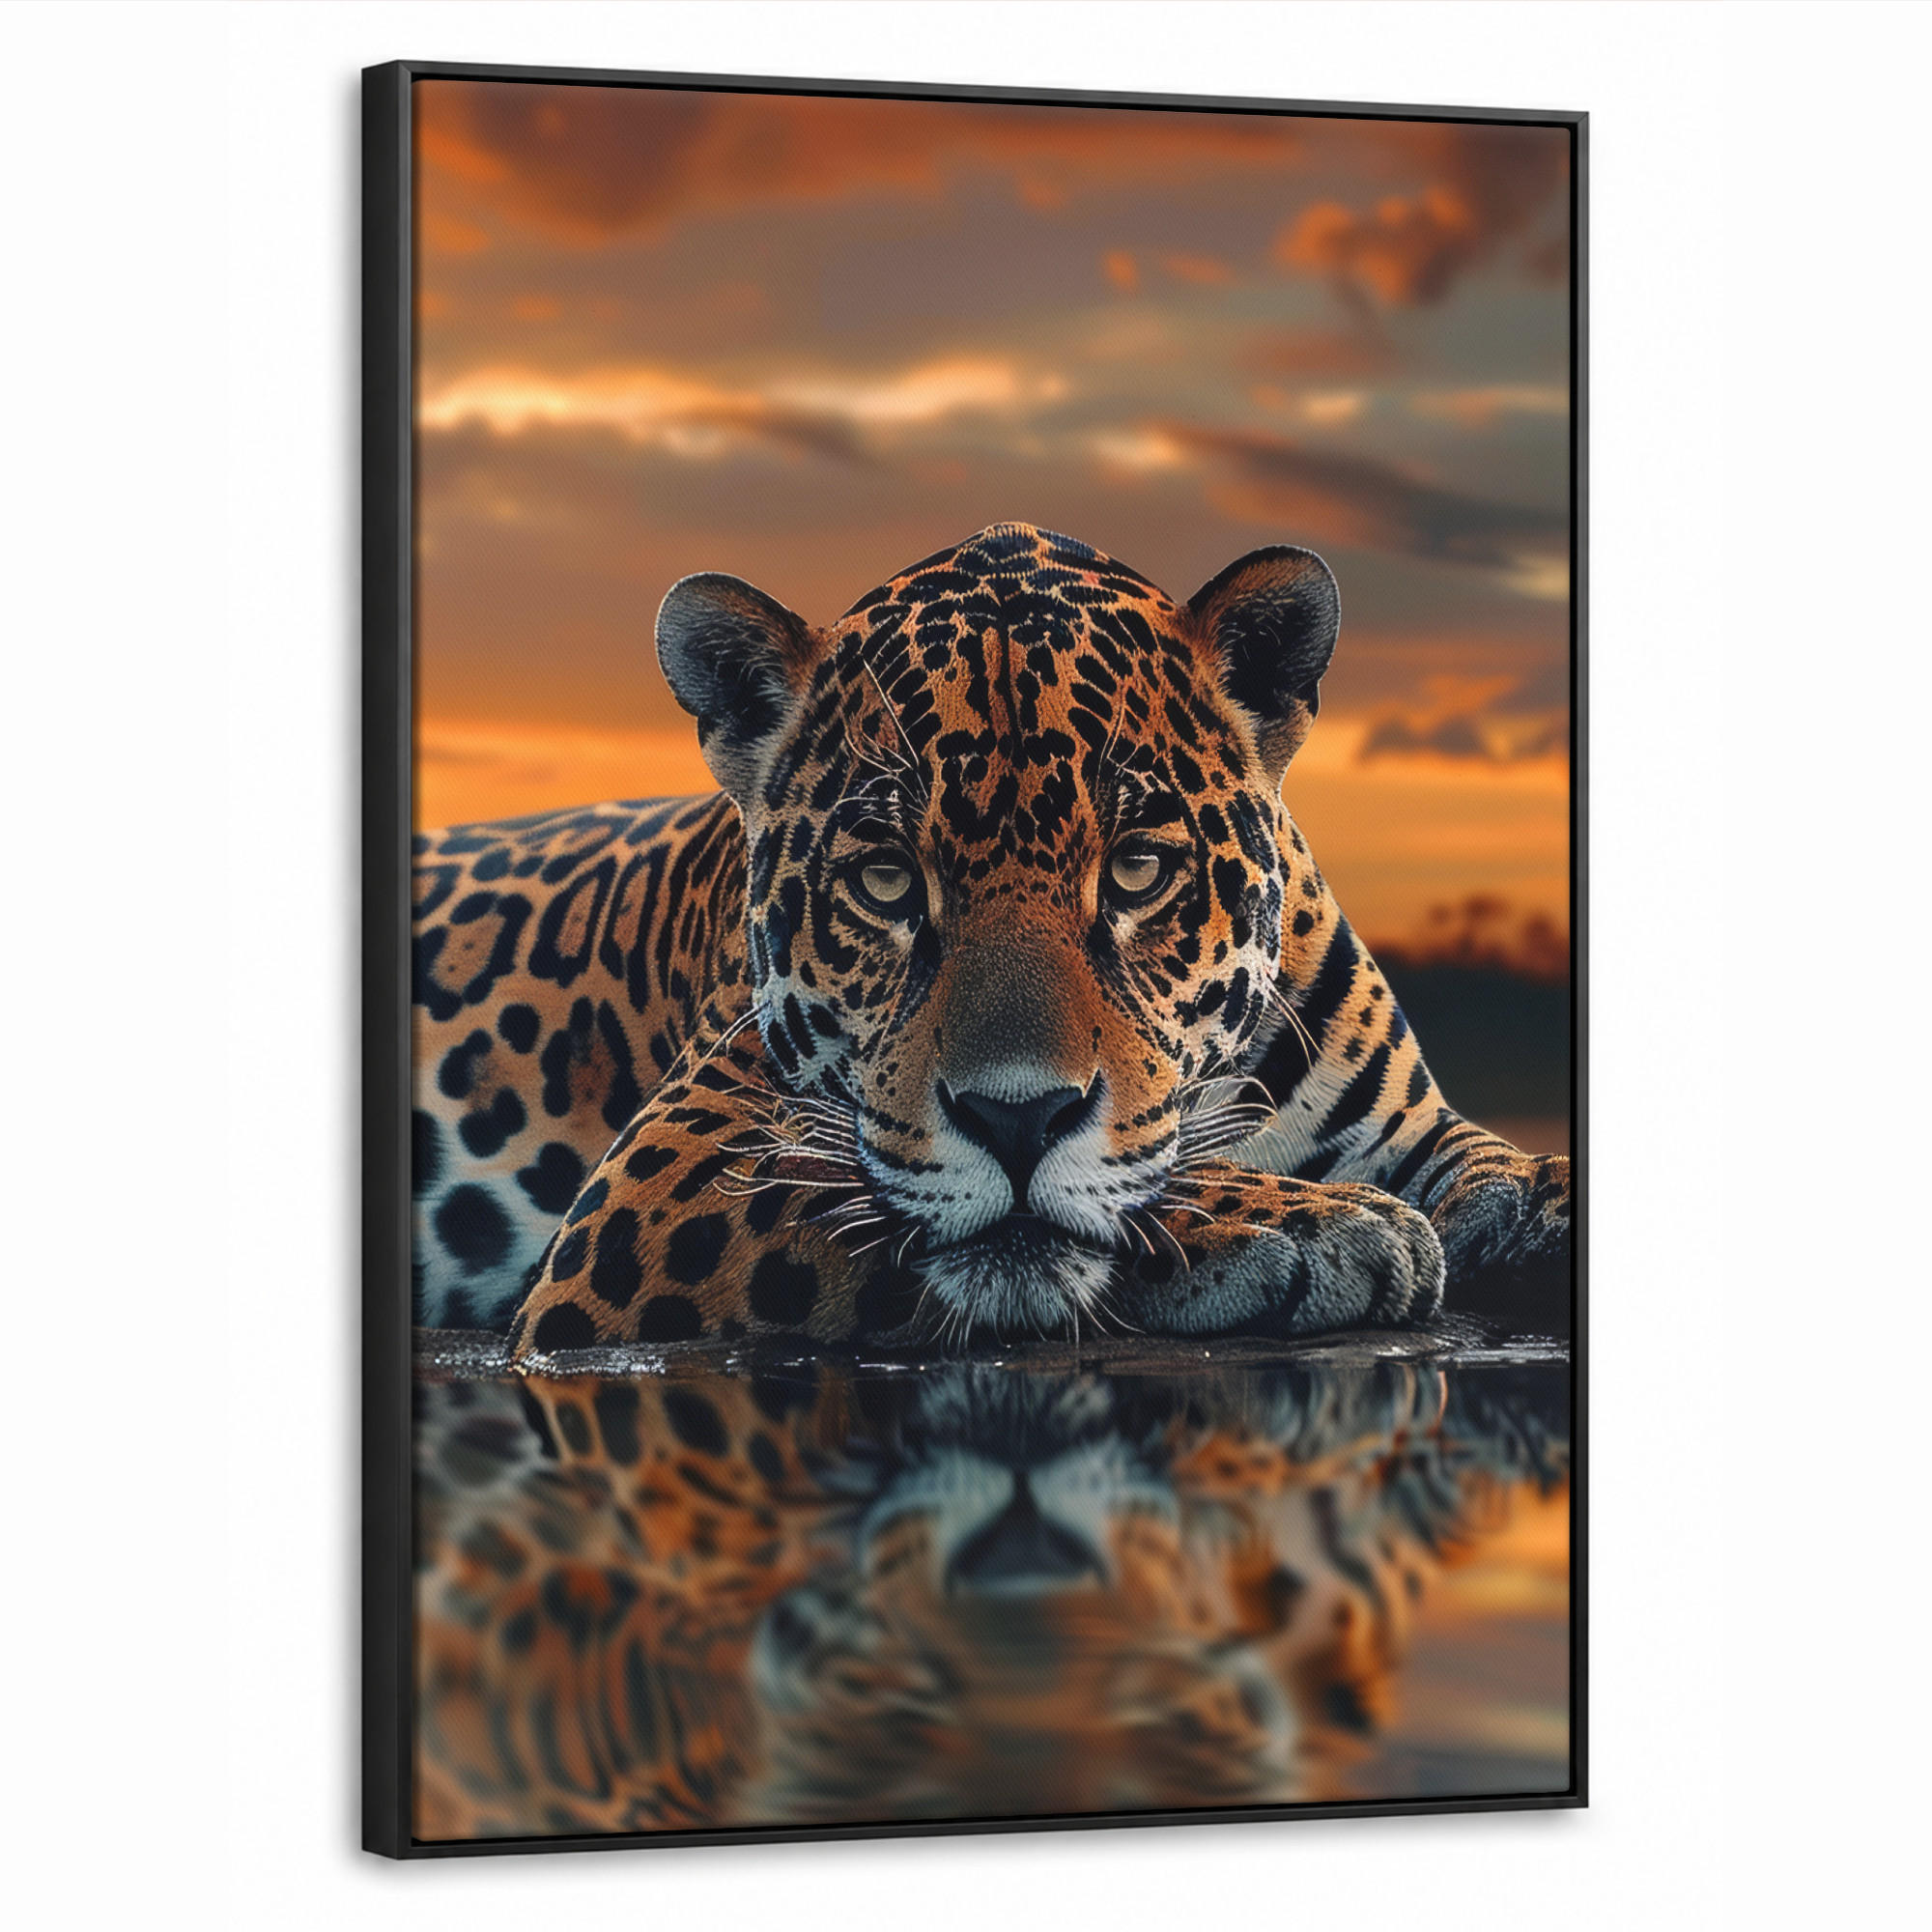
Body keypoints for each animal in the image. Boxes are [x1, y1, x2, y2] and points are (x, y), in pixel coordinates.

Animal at [409, 523, 1570, 1356]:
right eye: (884, 879)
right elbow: (870, 1192)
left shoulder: (1410, 1126)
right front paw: (1306, 1224)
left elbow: (1485, 1157)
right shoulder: (662, 1173)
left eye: (1136, 869)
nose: (1019, 1119)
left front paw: (1538, 1203)